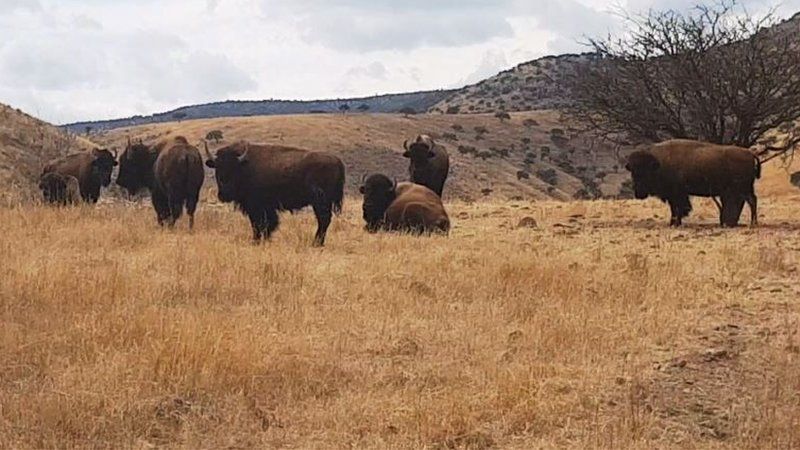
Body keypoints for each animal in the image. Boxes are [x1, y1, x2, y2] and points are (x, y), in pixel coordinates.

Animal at [203, 142, 344, 244]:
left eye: (234, 168)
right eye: (217, 168)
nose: (224, 194)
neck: (244, 166)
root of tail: (337, 160)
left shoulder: (257, 207)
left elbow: (259, 223)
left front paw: (256, 241)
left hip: (321, 202)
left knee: (324, 220)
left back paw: (316, 243)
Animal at [624, 139, 764, 227]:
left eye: (646, 172)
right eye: (633, 172)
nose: (639, 193)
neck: (659, 163)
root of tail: (750, 153)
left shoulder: (677, 195)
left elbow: (678, 208)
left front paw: (674, 223)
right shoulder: (674, 196)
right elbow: (675, 209)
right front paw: (674, 223)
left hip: (743, 188)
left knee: (751, 201)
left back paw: (753, 223)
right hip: (745, 189)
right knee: (751, 200)